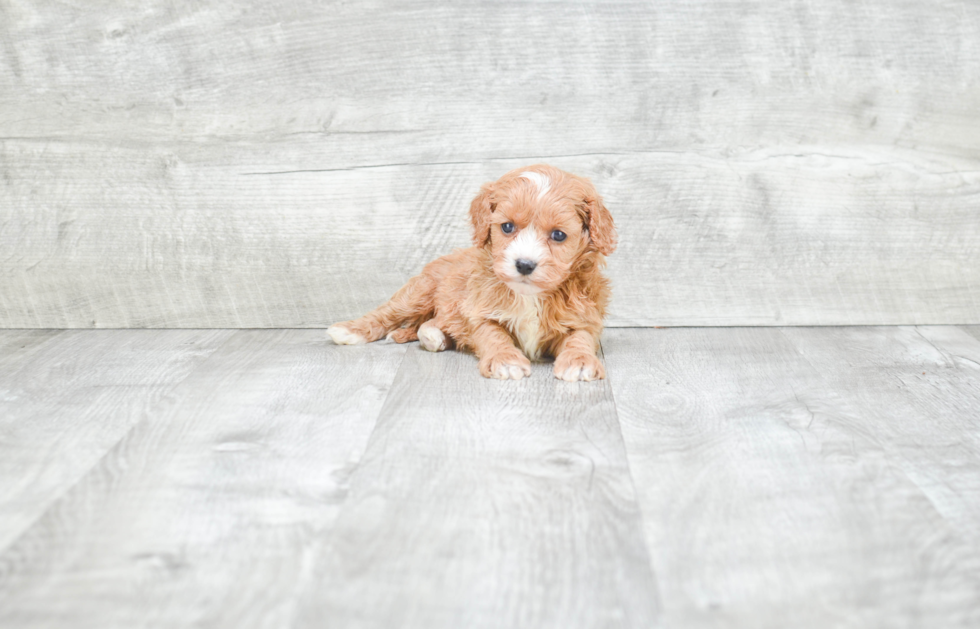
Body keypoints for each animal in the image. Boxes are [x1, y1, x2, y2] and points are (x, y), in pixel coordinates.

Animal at [330, 162, 620, 380]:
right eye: (507, 227)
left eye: (559, 235)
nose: (524, 264)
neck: (530, 297)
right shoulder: (480, 312)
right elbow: (493, 335)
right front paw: (505, 360)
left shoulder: (584, 317)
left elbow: (580, 338)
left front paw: (579, 361)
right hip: (419, 292)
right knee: (388, 313)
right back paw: (350, 330)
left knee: (431, 322)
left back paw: (433, 335)